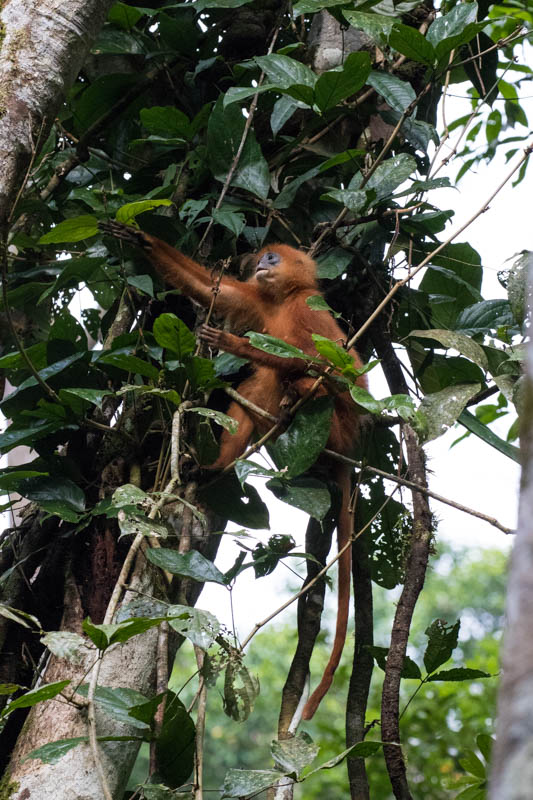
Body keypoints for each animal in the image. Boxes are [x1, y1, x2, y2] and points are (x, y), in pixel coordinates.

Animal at [98, 220, 366, 720]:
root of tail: (348, 449)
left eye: (273, 258)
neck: (283, 299)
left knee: (304, 378)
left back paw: (290, 400)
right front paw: (141, 239)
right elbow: (210, 290)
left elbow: (337, 366)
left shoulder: (309, 310)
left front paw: (237, 345)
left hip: (336, 426)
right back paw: (212, 466)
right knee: (262, 388)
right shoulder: (259, 300)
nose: (261, 263)